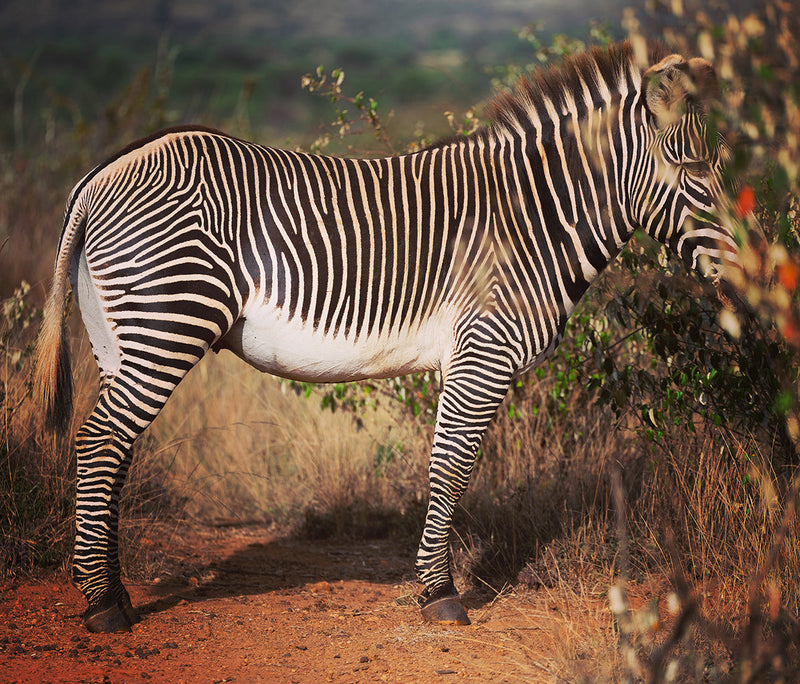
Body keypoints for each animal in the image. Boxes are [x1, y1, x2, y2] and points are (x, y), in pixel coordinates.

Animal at [34, 41, 740, 632]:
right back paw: (103, 606)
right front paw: (440, 595)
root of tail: (101, 174)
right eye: (693, 172)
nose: (748, 280)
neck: (534, 219)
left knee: (112, 449)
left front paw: (433, 586)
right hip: (167, 320)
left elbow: (446, 466)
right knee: (100, 443)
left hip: (118, 335)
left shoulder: (465, 359)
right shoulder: (483, 351)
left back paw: (112, 592)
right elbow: (451, 469)